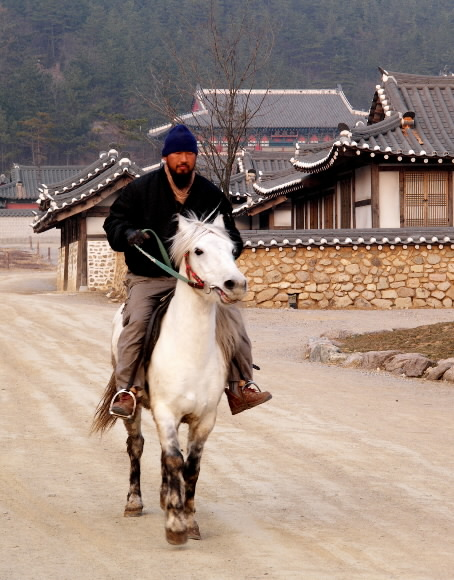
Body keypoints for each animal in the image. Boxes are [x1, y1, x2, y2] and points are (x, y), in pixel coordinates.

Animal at [92, 212, 247, 544]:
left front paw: (189, 520)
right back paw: (134, 502)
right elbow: (174, 459)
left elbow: (190, 467)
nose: (236, 284)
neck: (190, 350)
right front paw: (175, 526)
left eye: (232, 250)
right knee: (136, 445)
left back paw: (165, 498)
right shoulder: (165, 411)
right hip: (134, 408)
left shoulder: (205, 419)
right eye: (199, 251)